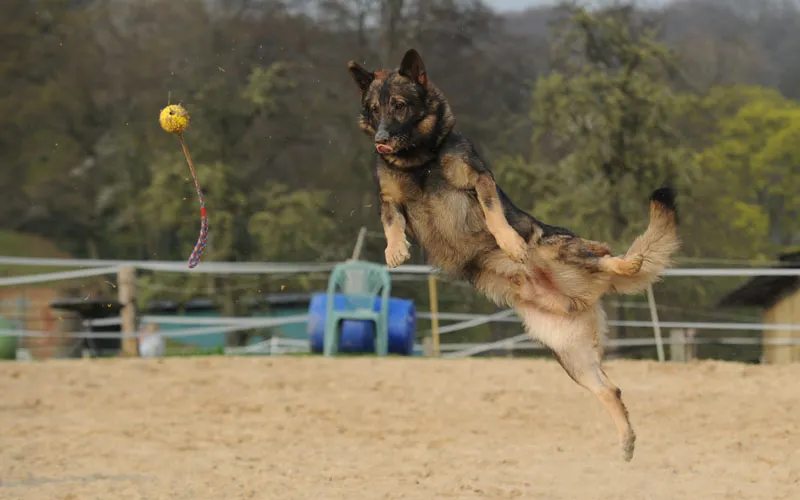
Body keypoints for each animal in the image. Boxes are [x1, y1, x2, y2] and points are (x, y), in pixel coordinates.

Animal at [346, 47, 680, 460]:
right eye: (374, 109)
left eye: (400, 105)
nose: (381, 139)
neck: (421, 161)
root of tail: (573, 294)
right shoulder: (389, 199)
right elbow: (390, 220)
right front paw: (394, 250)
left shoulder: (479, 180)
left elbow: (493, 213)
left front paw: (507, 241)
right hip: (572, 358)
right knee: (610, 390)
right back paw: (626, 439)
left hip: (558, 250)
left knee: (604, 255)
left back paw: (626, 261)